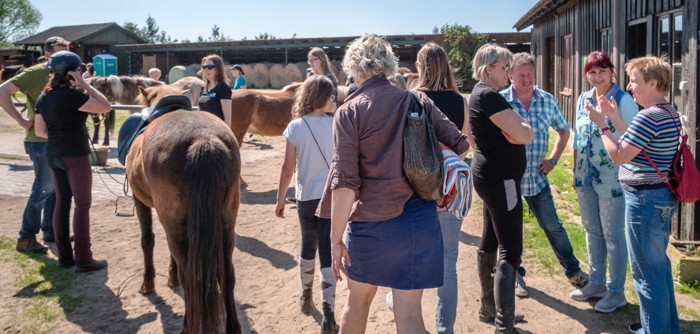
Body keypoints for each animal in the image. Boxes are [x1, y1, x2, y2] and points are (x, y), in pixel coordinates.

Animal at [130, 86, 242, 334]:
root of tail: (203, 140)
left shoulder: (139, 200)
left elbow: (147, 239)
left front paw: (148, 283)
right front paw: (170, 278)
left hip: (175, 222)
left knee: (189, 276)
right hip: (226, 221)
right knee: (227, 274)